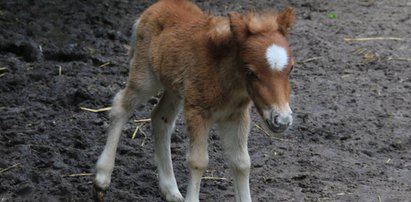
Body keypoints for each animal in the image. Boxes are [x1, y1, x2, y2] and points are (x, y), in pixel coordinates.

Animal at [95, 0, 296, 201]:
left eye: (291, 69)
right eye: (250, 72)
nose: (282, 120)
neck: (223, 75)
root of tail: (156, 6)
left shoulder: (236, 116)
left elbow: (241, 162)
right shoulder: (196, 111)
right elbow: (198, 161)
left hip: (175, 88)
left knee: (160, 118)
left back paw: (171, 190)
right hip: (145, 78)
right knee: (120, 107)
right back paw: (102, 179)